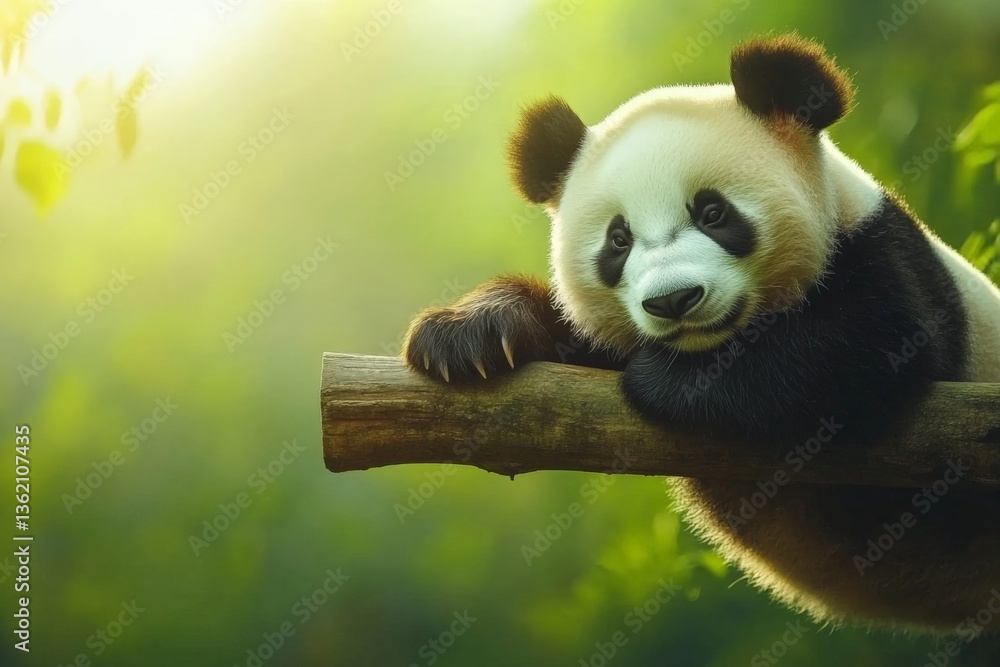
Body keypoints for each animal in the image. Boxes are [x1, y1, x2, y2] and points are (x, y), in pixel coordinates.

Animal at [401, 34, 1000, 634]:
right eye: (618, 239)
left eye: (713, 212)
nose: (672, 300)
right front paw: (467, 337)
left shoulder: (885, 253)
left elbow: (866, 347)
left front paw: (662, 380)